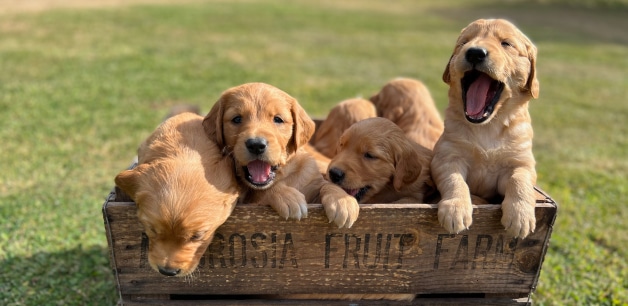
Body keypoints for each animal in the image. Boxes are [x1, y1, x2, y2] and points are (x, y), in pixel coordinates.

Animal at [201, 82, 358, 228]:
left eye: (278, 119)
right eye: (237, 119)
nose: (256, 145)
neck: (283, 175)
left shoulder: (310, 179)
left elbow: (325, 184)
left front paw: (343, 200)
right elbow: (264, 193)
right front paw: (287, 197)